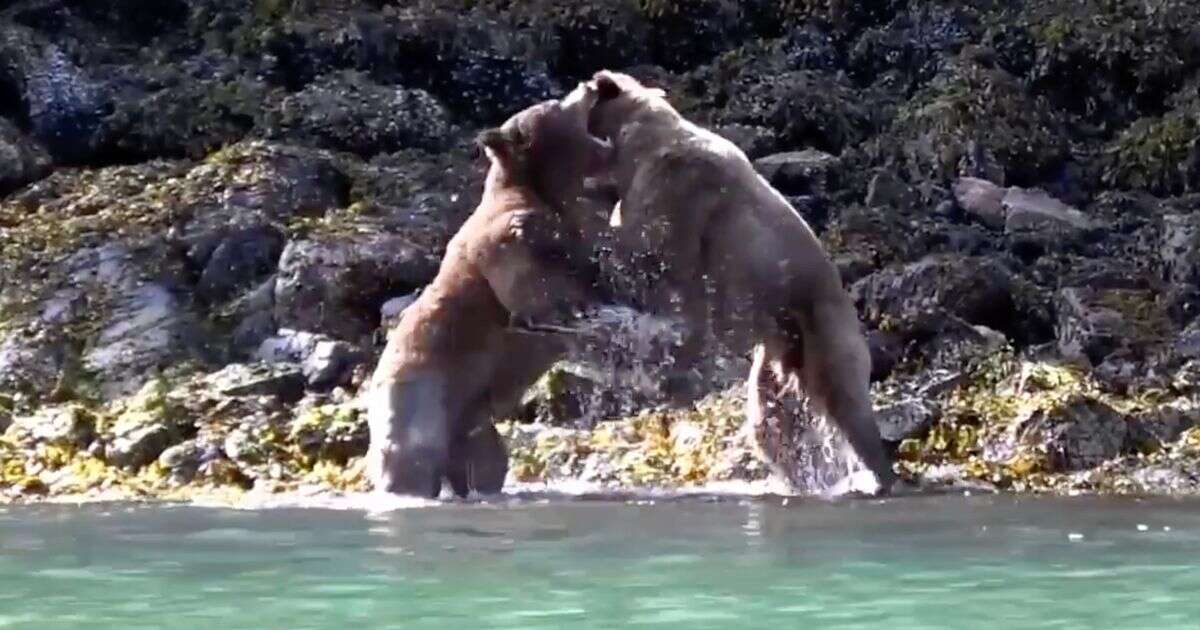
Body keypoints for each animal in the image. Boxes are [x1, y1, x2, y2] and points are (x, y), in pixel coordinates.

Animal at [362, 88, 614, 499]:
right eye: (557, 104)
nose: (590, 86)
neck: (540, 186)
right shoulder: (501, 243)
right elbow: (526, 279)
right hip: (418, 397)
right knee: (411, 459)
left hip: (472, 425)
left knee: (486, 464)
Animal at [576, 68, 897, 492]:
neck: (635, 146)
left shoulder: (677, 190)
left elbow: (647, 252)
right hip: (775, 357)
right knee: (772, 426)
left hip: (822, 329)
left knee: (847, 404)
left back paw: (880, 476)